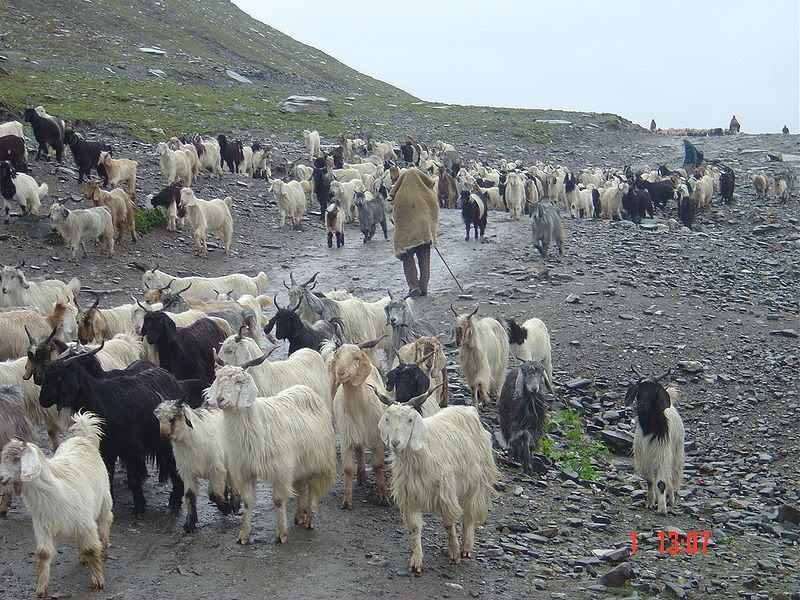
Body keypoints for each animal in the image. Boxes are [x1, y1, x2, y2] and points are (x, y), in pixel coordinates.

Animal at [0, 412, 113, 596]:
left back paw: (103, 550)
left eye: (17, 459)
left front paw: (98, 581)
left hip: (104, 502)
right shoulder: (42, 525)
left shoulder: (85, 522)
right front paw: (41, 588)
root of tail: (83, 438)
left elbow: (91, 548)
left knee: (105, 522)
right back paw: (83, 557)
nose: (1, 477)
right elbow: (44, 553)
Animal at [39, 346, 205, 520]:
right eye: (46, 375)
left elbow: (134, 477)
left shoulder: (131, 447)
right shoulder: (106, 449)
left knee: (174, 467)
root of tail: (177, 383)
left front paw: (139, 507)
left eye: (58, 377)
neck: (101, 401)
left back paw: (174, 503)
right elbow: (108, 474)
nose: (42, 400)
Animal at [208, 370, 336, 544]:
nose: (220, 399)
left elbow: (278, 501)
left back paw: (310, 518)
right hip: (299, 464)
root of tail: (306, 389)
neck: (254, 420)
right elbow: (247, 502)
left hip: (318, 460)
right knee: (302, 487)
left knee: (313, 490)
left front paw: (281, 533)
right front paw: (244, 534)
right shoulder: (247, 470)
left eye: (238, 382)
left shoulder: (281, 469)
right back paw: (299, 515)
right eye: (219, 380)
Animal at [378, 404, 496, 572]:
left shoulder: (445, 491)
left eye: (410, 420)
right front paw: (416, 560)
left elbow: (448, 524)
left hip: (477, 479)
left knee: (469, 513)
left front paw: (454, 553)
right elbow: (415, 527)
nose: (395, 442)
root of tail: (468, 409)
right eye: (387, 419)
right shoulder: (410, 495)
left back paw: (467, 547)